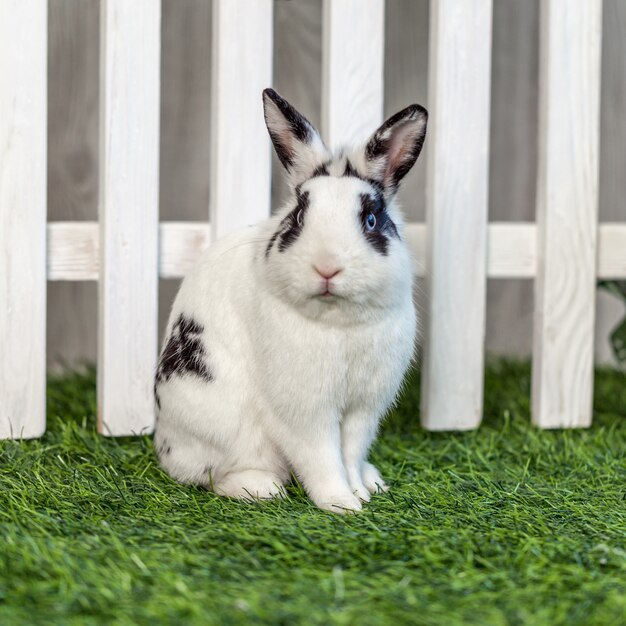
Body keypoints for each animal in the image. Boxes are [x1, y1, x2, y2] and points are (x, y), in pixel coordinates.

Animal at [154, 88, 426, 512]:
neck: (337, 321)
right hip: (223, 433)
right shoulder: (305, 409)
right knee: (210, 475)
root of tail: (163, 445)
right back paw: (261, 488)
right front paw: (342, 504)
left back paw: (372, 480)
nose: (327, 267)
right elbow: (322, 456)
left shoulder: (364, 407)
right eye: (298, 217)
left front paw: (359, 492)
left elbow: (350, 452)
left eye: (370, 220)